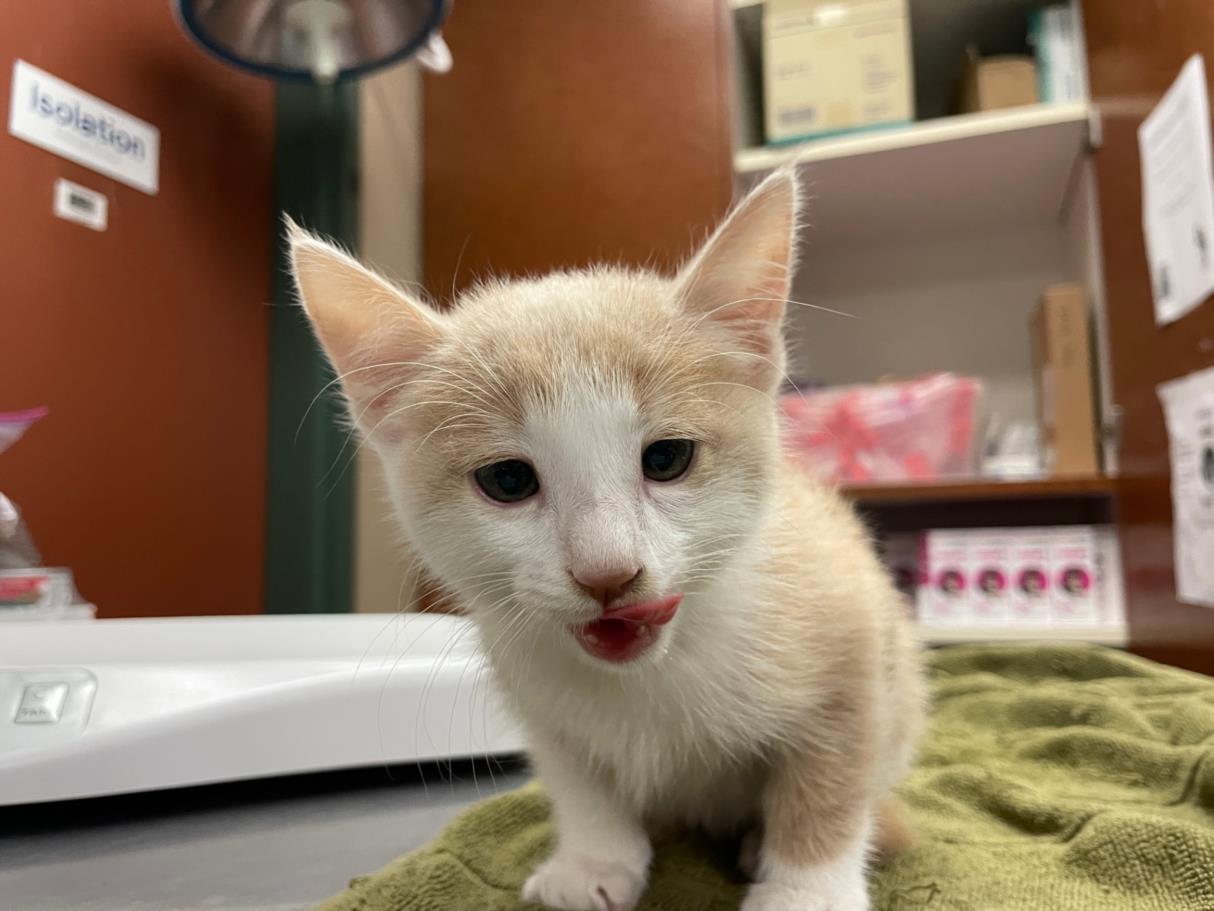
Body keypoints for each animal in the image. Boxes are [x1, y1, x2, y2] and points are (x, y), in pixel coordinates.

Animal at [288, 167, 922, 908]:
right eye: (507, 479)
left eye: (668, 458)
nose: (607, 573)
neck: (653, 672)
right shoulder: (539, 697)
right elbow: (578, 778)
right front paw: (594, 860)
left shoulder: (852, 638)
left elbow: (832, 777)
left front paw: (807, 889)